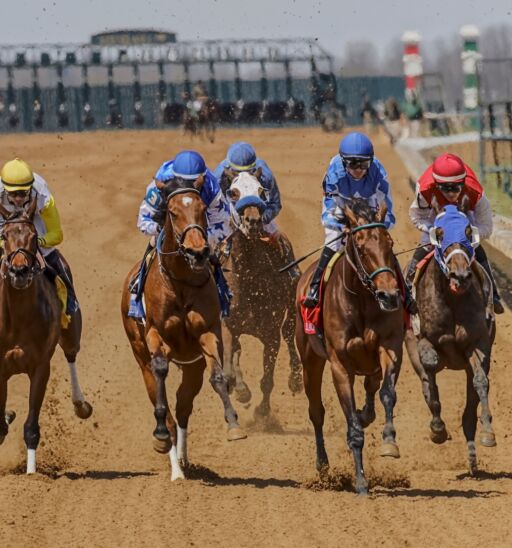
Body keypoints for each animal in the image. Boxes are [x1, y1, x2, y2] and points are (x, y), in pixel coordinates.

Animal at [0, 199, 91, 474]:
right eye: (4, 235)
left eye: (33, 237)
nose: (19, 271)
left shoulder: (40, 367)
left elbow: (31, 427)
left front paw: (31, 475)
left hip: (71, 331)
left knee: (71, 354)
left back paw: (80, 404)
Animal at [122, 179, 246, 480]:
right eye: (173, 211)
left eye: (201, 208)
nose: (198, 252)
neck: (179, 282)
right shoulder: (155, 335)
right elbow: (160, 373)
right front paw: (160, 437)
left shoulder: (208, 333)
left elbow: (218, 377)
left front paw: (233, 424)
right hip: (139, 353)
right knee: (163, 402)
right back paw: (175, 467)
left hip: (192, 366)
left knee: (182, 406)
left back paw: (182, 459)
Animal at [222, 173, 302, 418]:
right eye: (233, 192)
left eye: (260, 191)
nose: (253, 221)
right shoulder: (227, 325)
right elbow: (230, 361)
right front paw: (238, 388)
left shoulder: (271, 334)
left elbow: (267, 380)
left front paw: (262, 411)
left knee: (289, 332)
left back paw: (296, 378)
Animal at [296, 199, 404, 494]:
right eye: (362, 247)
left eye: (390, 244)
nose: (389, 295)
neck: (361, 300)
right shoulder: (339, 365)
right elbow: (352, 428)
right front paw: (361, 481)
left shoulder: (390, 347)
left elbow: (387, 393)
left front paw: (389, 442)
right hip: (309, 360)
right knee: (316, 411)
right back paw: (323, 466)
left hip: (369, 362)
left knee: (371, 386)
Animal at [404, 199, 496, 474]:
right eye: (439, 232)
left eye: (468, 232)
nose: (461, 275)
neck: (453, 301)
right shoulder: (422, 340)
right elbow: (431, 369)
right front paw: (437, 429)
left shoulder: (478, 344)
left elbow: (480, 381)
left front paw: (488, 432)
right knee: (426, 381)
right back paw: (438, 428)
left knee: (470, 406)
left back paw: (473, 457)